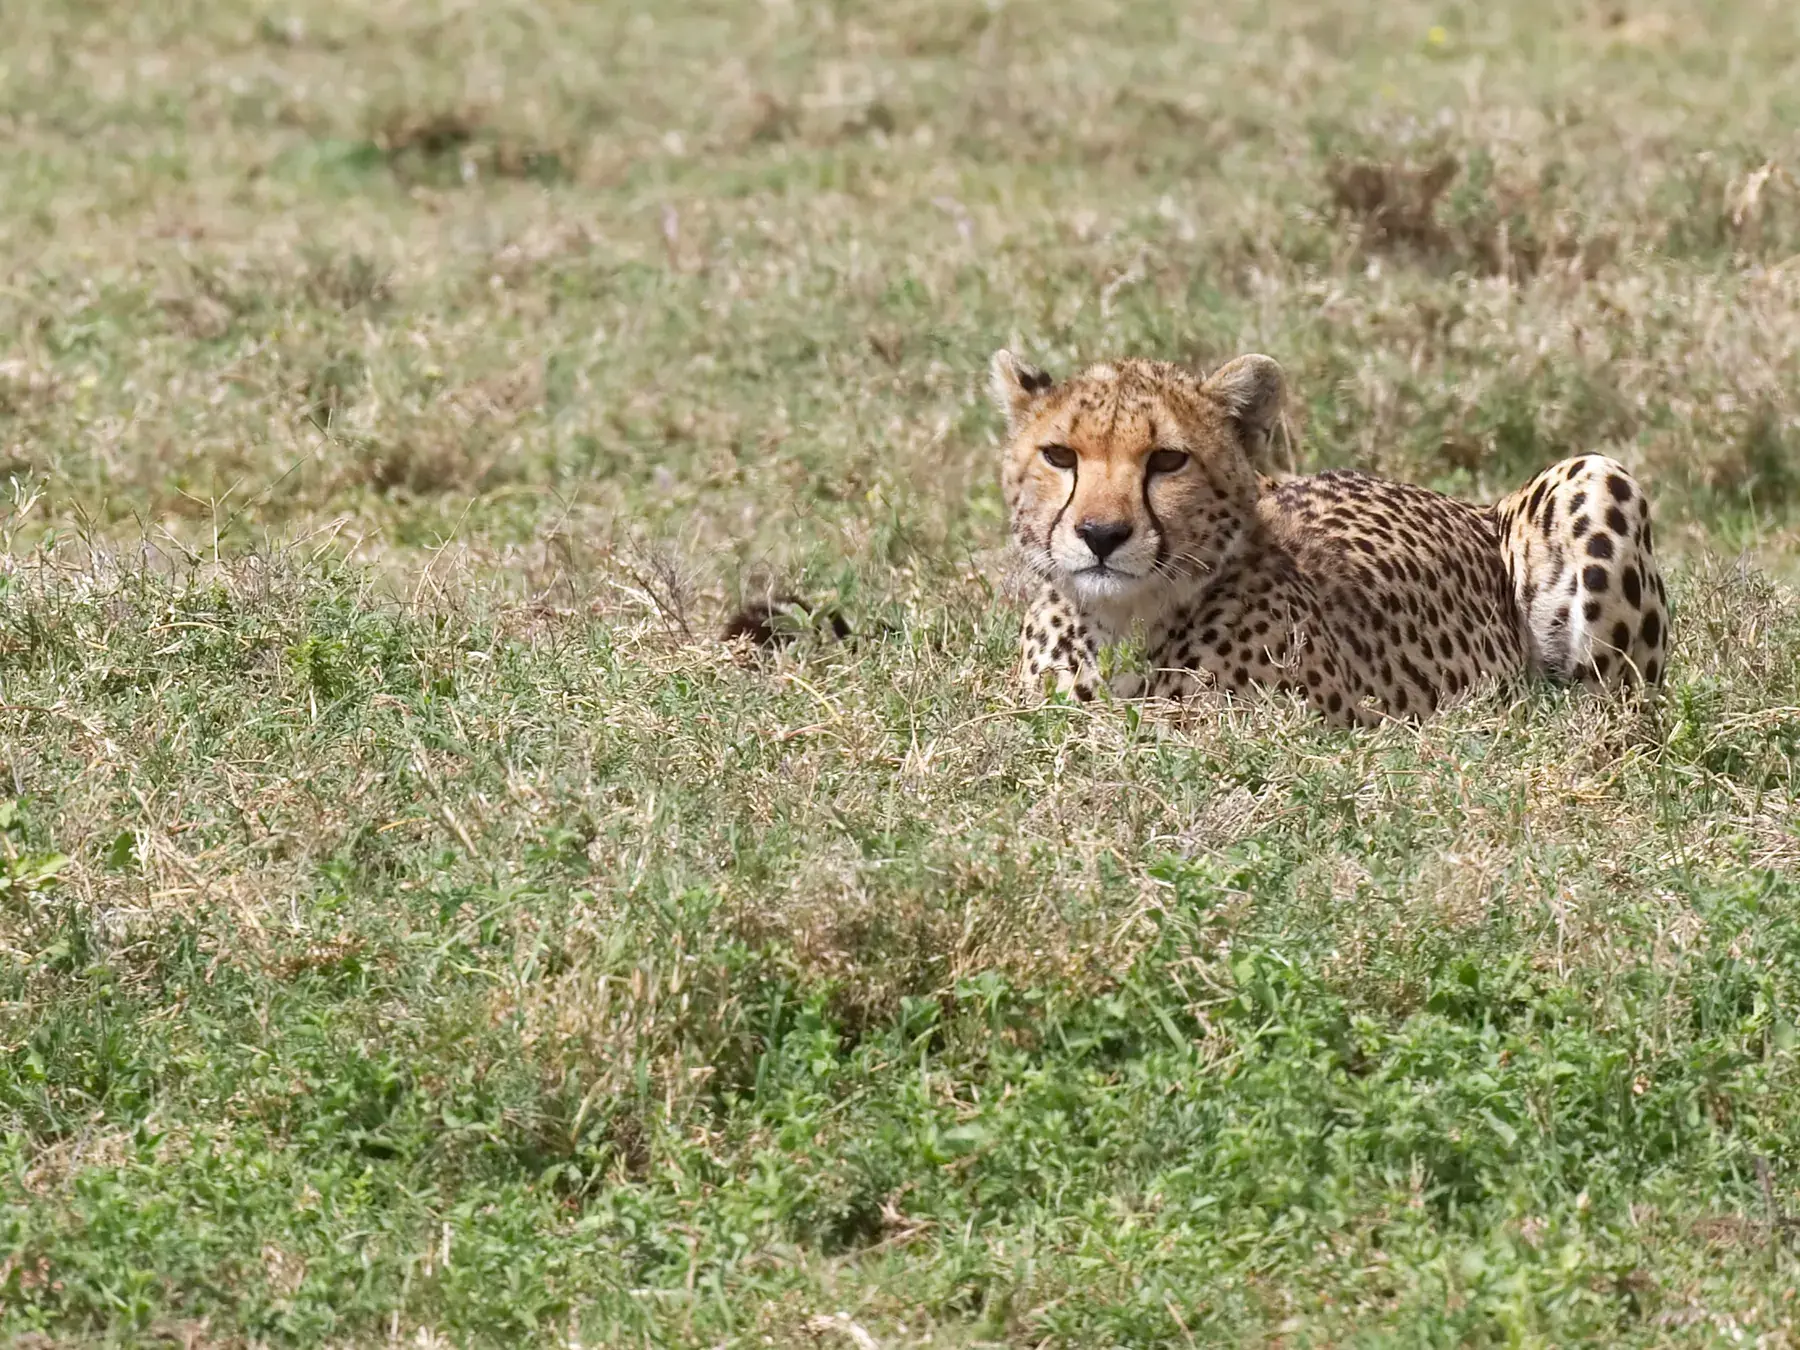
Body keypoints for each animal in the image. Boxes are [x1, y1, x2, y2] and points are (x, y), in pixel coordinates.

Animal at [992, 350, 1669, 728]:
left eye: (1167, 461)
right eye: (1059, 456)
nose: (1101, 534)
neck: (1124, 622)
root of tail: (1477, 506)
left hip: (1596, 476)